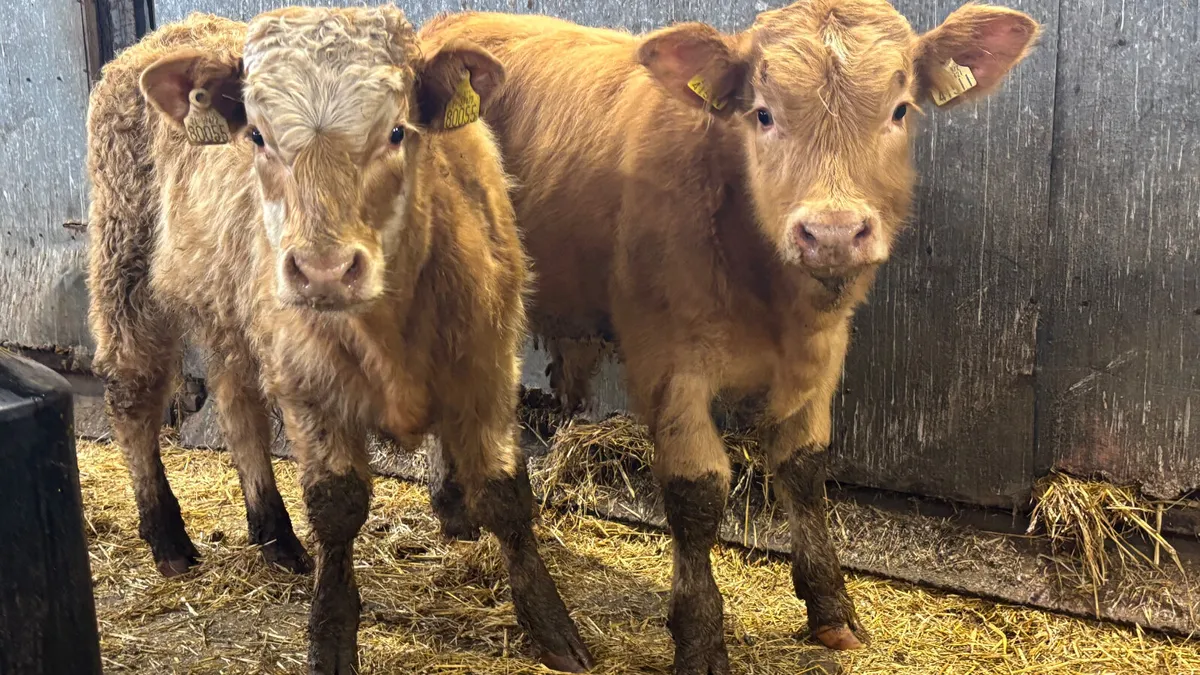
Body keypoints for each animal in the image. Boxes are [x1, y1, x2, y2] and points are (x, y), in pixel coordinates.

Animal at [86, 6, 592, 672]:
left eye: (398, 131)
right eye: (257, 135)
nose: (323, 270)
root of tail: (162, 38)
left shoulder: (488, 364)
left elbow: (505, 493)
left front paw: (554, 628)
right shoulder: (308, 381)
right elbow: (337, 505)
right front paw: (329, 635)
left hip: (228, 311)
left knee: (238, 408)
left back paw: (275, 536)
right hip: (124, 269)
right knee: (134, 396)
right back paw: (168, 538)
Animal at [420, 2, 1039, 672]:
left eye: (900, 110)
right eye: (762, 113)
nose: (833, 233)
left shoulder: (821, 353)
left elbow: (804, 467)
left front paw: (831, 609)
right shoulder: (669, 364)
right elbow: (697, 494)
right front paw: (699, 636)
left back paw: (453, 506)